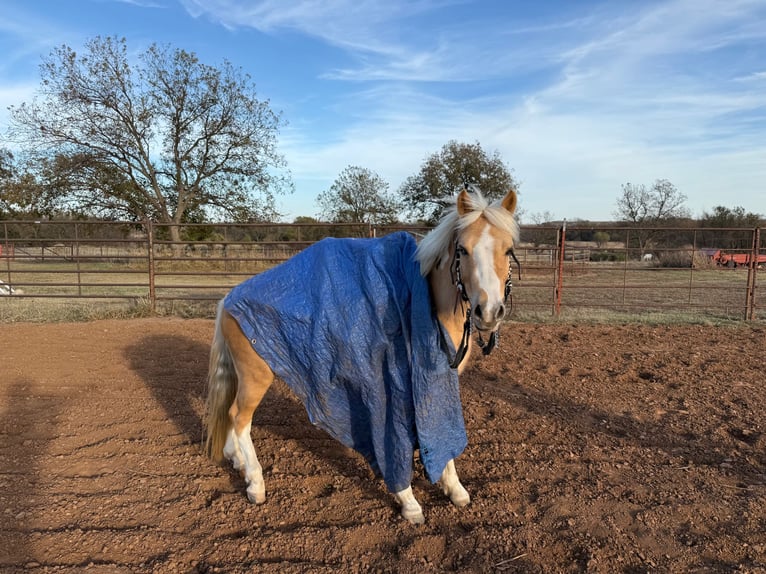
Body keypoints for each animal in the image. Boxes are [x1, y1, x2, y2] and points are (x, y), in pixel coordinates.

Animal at [204, 187, 519, 524]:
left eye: (508, 250)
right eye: (462, 250)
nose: (488, 311)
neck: (430, 300)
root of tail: (230, 298)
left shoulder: (438, 378)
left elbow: (437, 423)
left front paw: (454, 489)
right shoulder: (394, 386)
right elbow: (401, 437)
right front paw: (408, 501)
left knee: (229, 411)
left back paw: (235, 459)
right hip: (255, 376)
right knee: (240, 417)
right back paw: (255, 483)